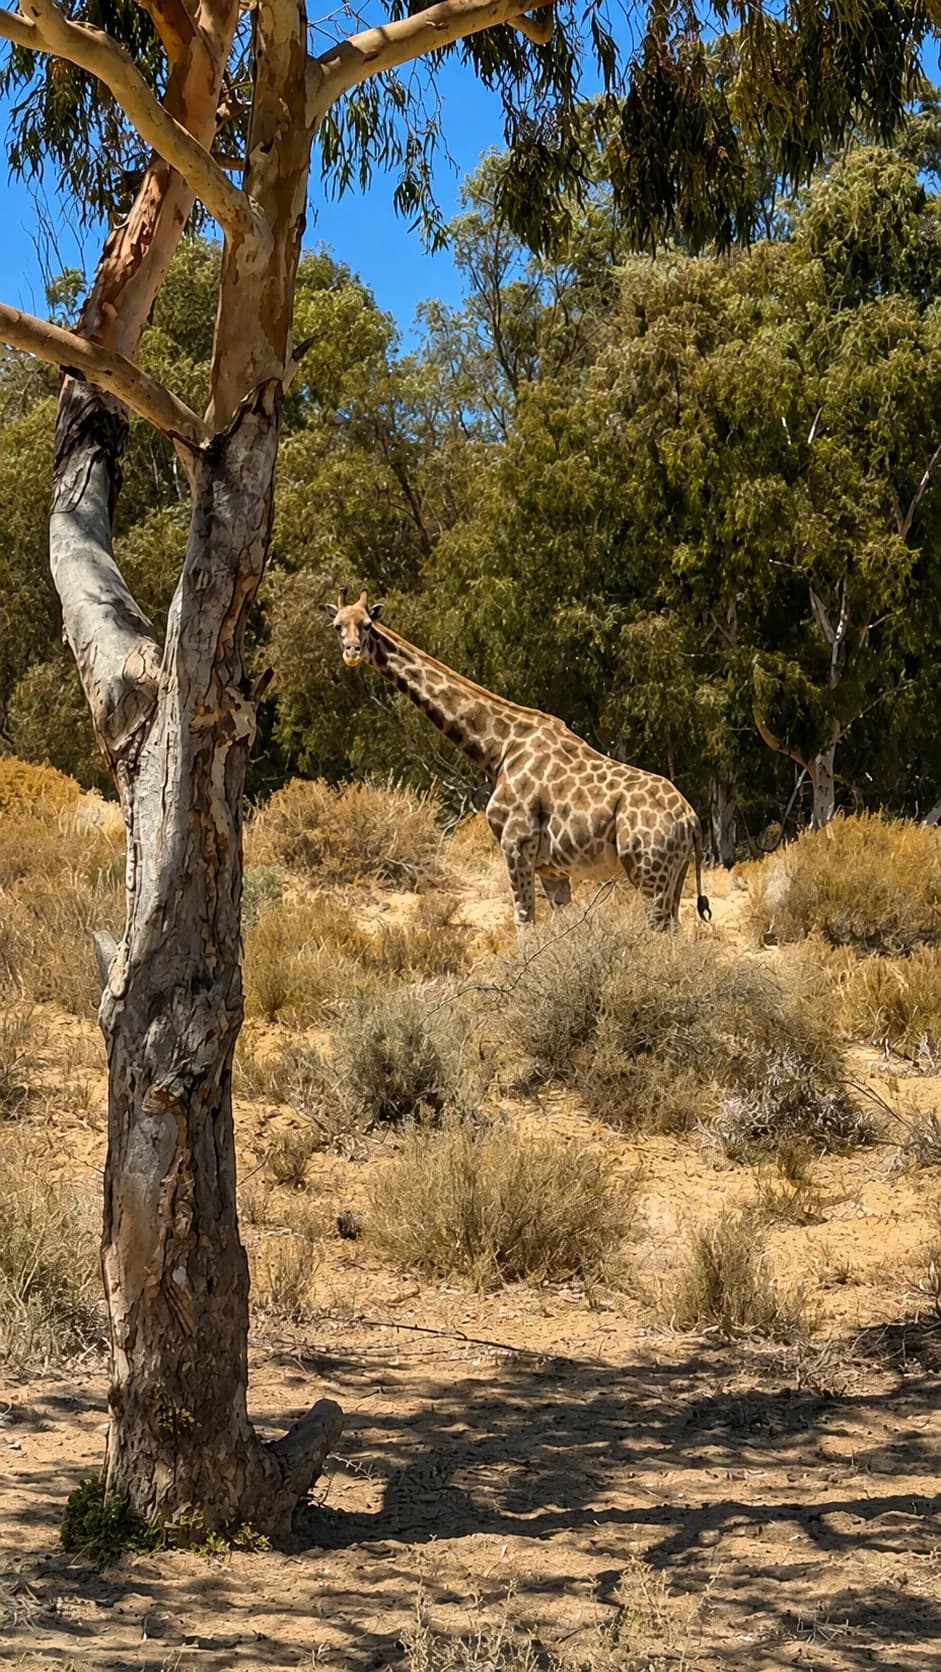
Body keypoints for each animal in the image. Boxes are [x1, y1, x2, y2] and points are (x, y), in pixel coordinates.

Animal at [323, 590, 711, 931]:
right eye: (338, 626)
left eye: (367, 625)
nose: (352, 653)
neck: (498, 749)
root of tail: (691, 820)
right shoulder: (552, 869)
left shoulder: (516, 845)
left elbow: (523, 924)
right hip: (673, 876)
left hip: (649, 872)